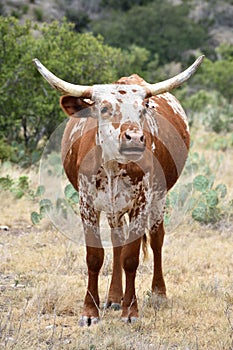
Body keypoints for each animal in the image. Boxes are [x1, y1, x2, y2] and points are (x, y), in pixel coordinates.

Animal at [32, 54, 204, 326]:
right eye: (103, 109)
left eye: (142, 108)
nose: (135, 138)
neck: (112, 165)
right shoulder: (87, 205)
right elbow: (95, 257)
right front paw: (90, 311)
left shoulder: (140, 203)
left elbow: (131, 258)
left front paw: (130, 311)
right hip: (113, 208)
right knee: (116, 241)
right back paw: (113, 297)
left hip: (158, 198)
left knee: (156, 238)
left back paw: (158, 293)